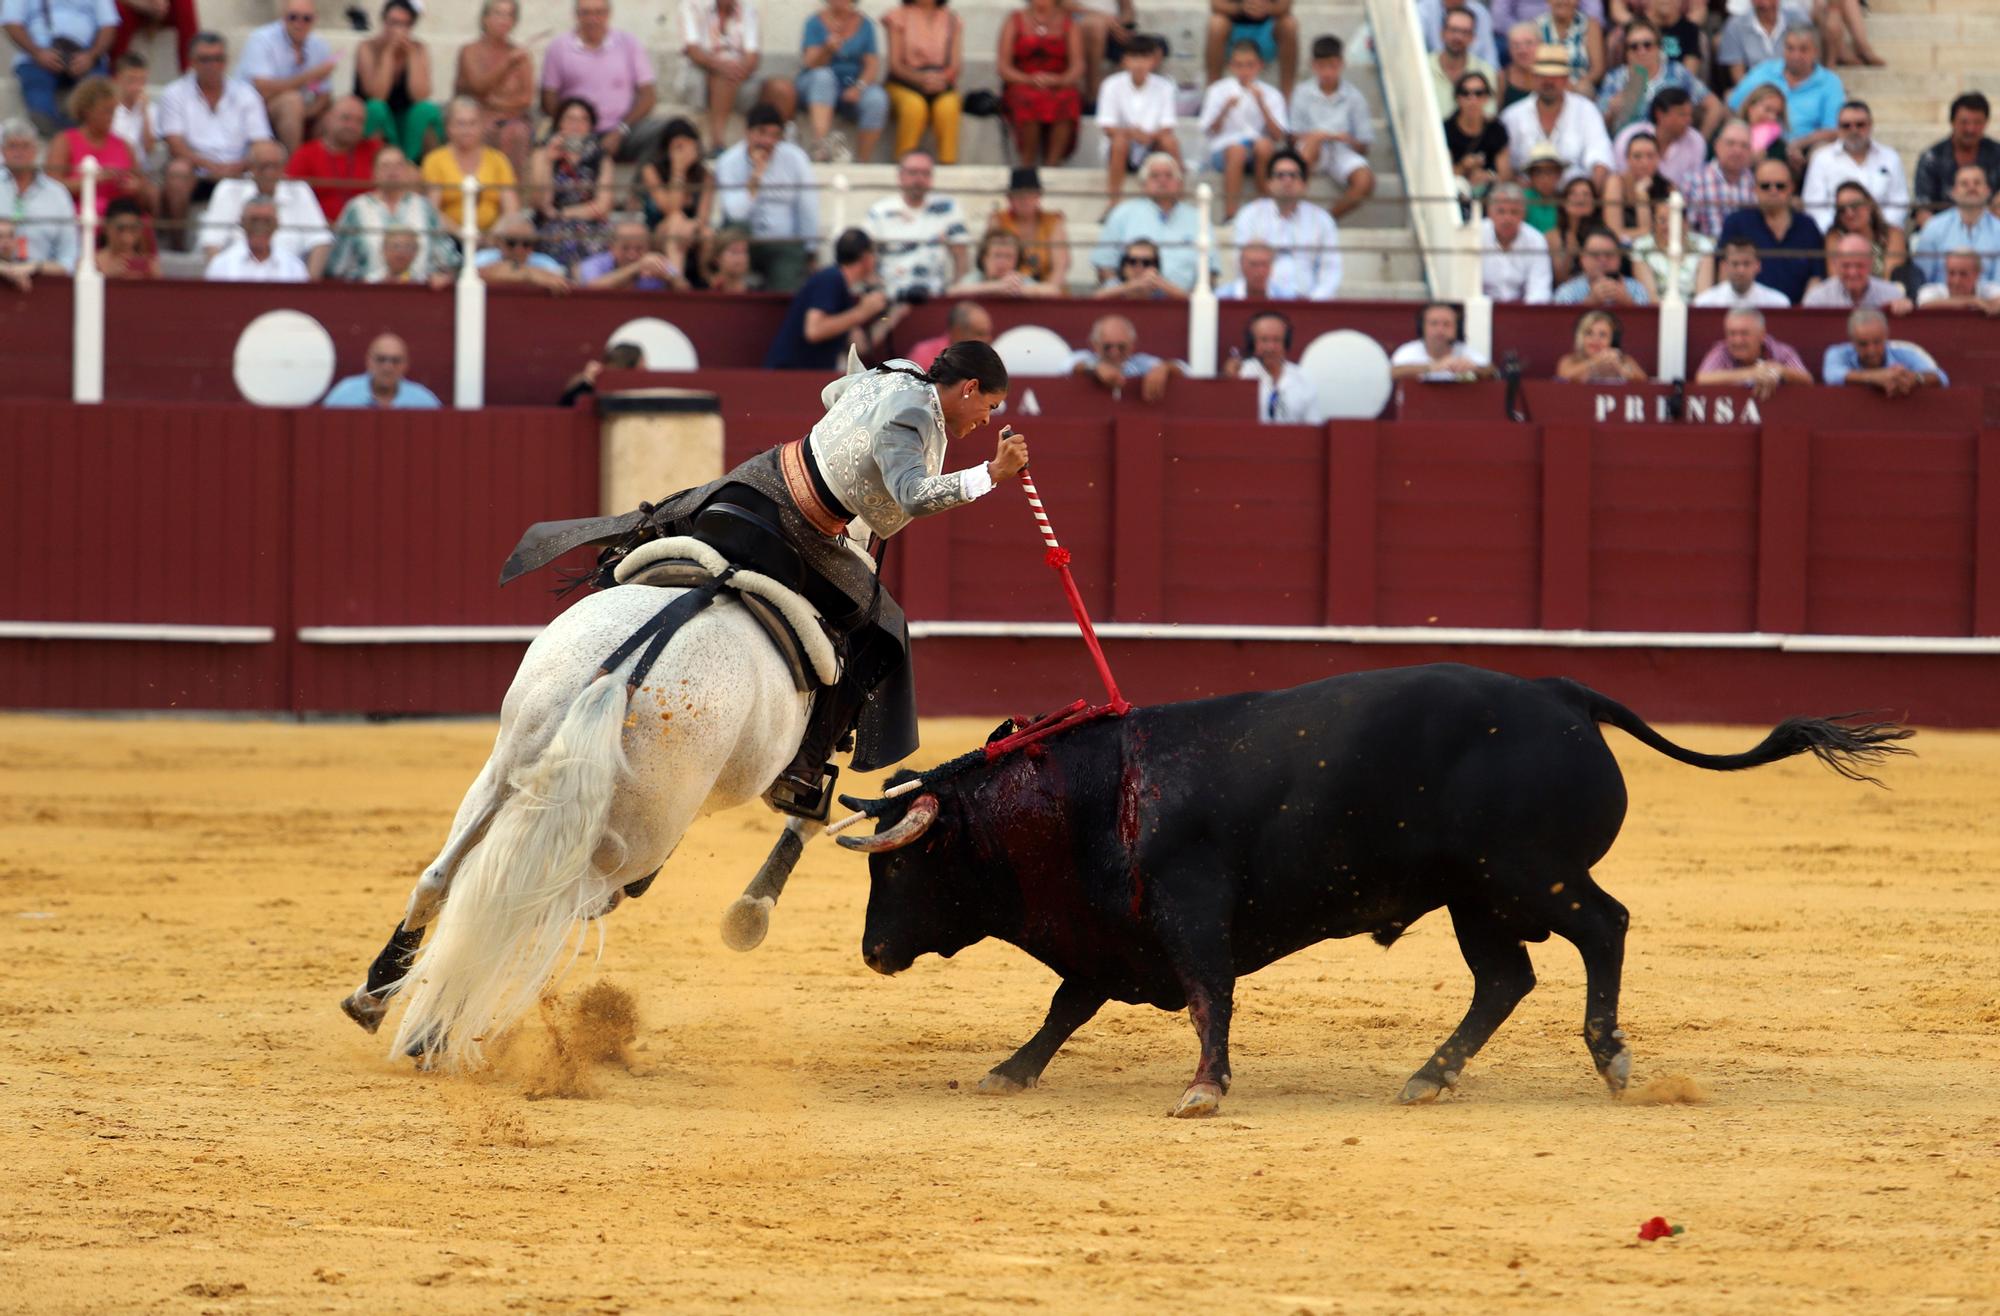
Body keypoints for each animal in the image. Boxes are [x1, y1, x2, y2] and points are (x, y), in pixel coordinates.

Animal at [344, 580, 812, 1072]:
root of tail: (622, 676)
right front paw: (751, 914)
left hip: (503, 766)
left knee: (445, 881)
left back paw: (378, 1000)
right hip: (633, 839)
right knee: (521, 907)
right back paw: (430, 1031)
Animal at [844, 660, 1904, 1112]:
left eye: (898, 861)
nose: (871, 951)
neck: (1087, 794)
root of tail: (1561, 692)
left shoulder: (1188, 911)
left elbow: (1207, 997)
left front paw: (1204, 1090)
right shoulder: (1113, 936)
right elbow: (1067, 1006)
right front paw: (1010, 1069)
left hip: (1526, 875)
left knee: (1605, 927)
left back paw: (1610, 1059)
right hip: (1478, 899)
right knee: (1505, 978)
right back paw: (1430, 1075)